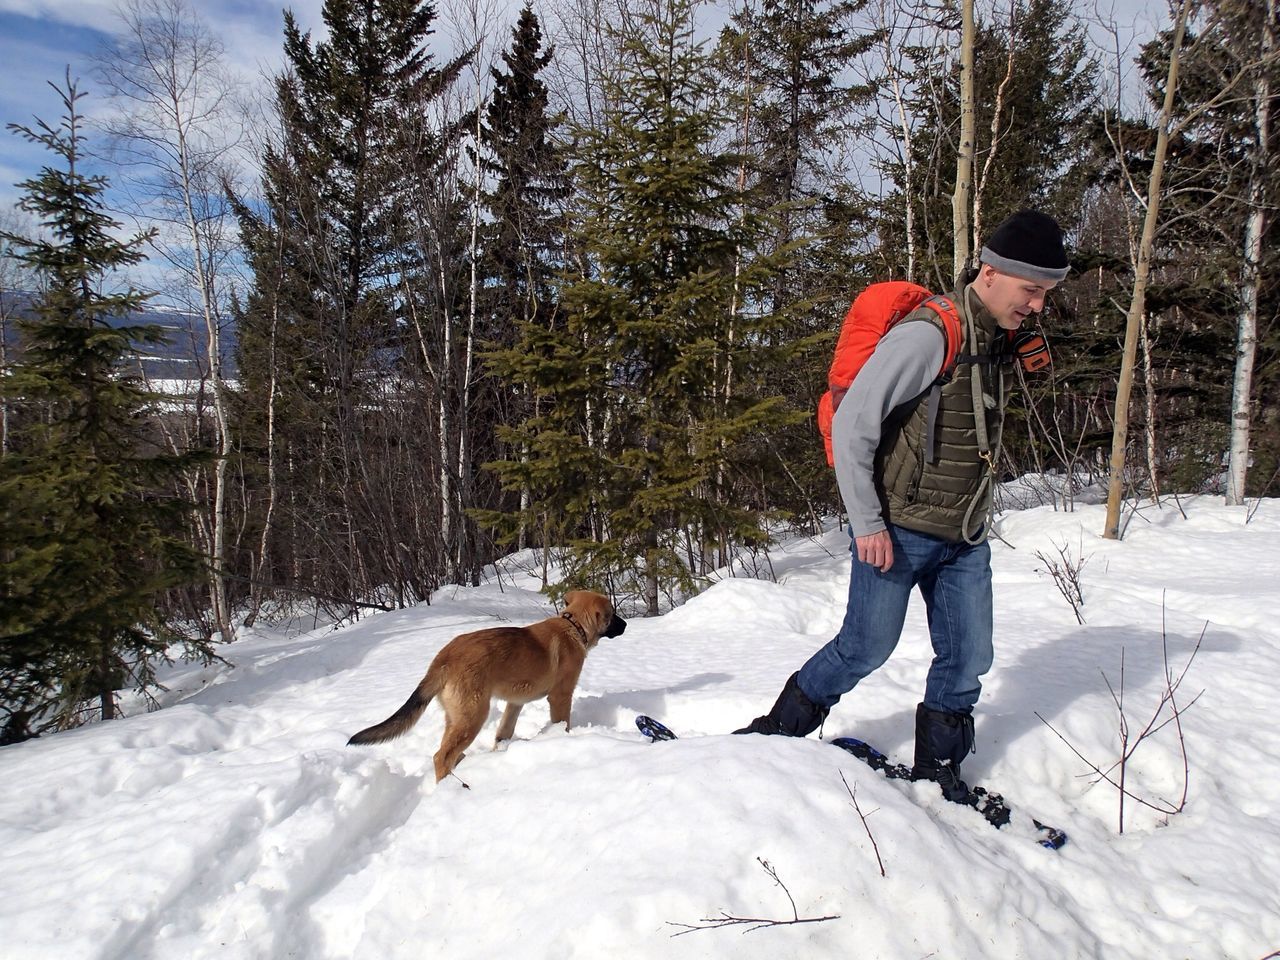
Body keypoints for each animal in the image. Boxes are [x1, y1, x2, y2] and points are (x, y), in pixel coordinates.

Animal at [345, 593, 624, 783]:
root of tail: (444, 657)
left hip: (457, 717)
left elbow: (503, 733)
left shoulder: (515, 702)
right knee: (440, 757)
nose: (626, 625)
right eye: (612, 614)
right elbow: (563, 723)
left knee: (450, 752)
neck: (573, 626)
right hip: (473, 715)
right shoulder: (560, 696)